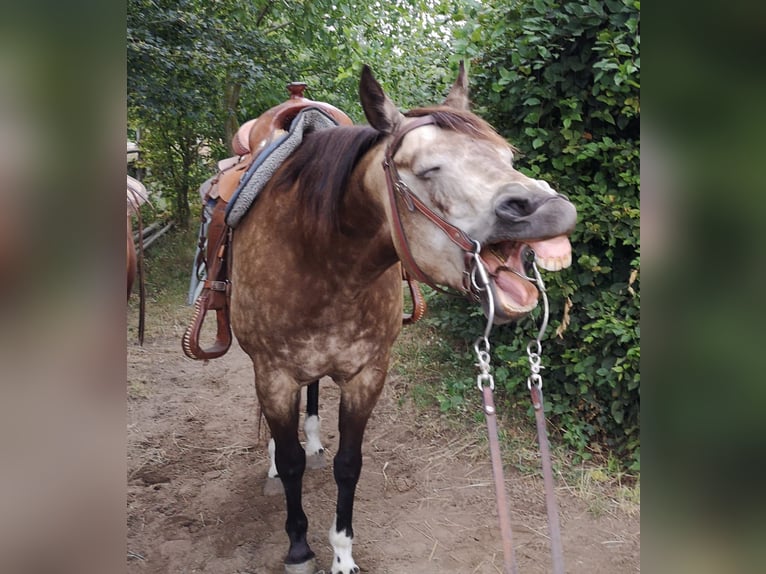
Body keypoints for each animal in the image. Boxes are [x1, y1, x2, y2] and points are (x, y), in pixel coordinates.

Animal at [229, 63, 577, 574]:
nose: (550, 207)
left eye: (507, 155)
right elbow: (291, 463)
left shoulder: (368, 373)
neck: (320, 256)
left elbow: (348, 464)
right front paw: (299, 546)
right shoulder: (273, 375)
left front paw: (342, 553)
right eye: (429, 169)